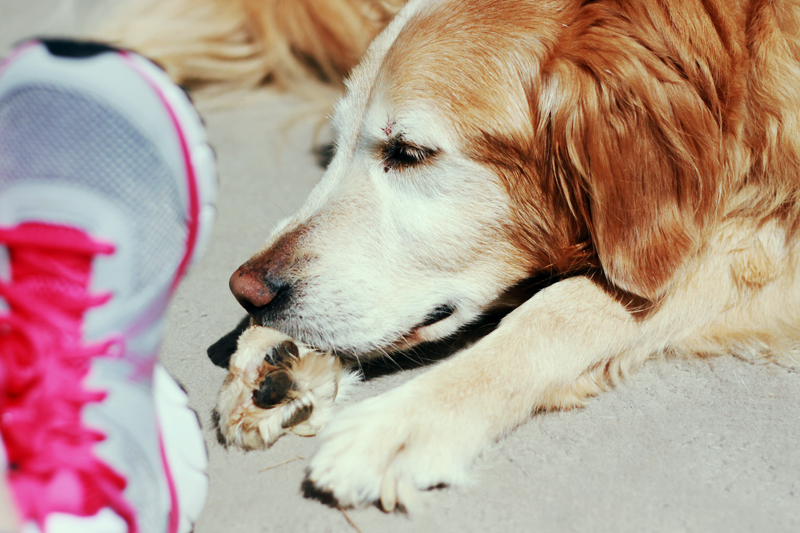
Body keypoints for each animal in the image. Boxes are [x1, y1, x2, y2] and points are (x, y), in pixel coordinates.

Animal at [115, 0, 800, 512]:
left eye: (410, 152)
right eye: (340, 142)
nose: (246, 291)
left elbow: (565, 305)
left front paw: (408, 420)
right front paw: (276, 352)